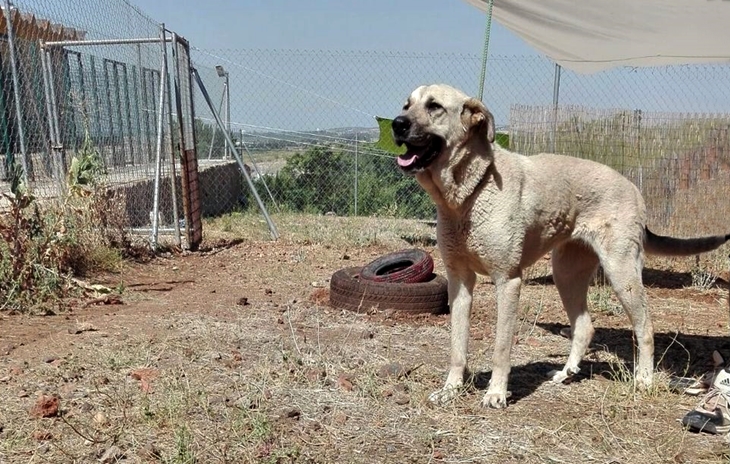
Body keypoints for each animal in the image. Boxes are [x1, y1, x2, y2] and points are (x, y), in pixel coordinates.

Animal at [392, 82, 728, 406]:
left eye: (434, 106)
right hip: (566, 274)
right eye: (406, 105)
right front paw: (450, 390)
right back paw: (567, 373)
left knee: (645, 326)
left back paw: (643, 379)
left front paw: (496, 393)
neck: (469, 194)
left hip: (622, 274)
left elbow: (501, 348)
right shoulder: (459, 281)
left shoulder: (508, 281)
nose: (396, 124)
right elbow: (457, 346)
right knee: (584, 326)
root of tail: (633, 187)